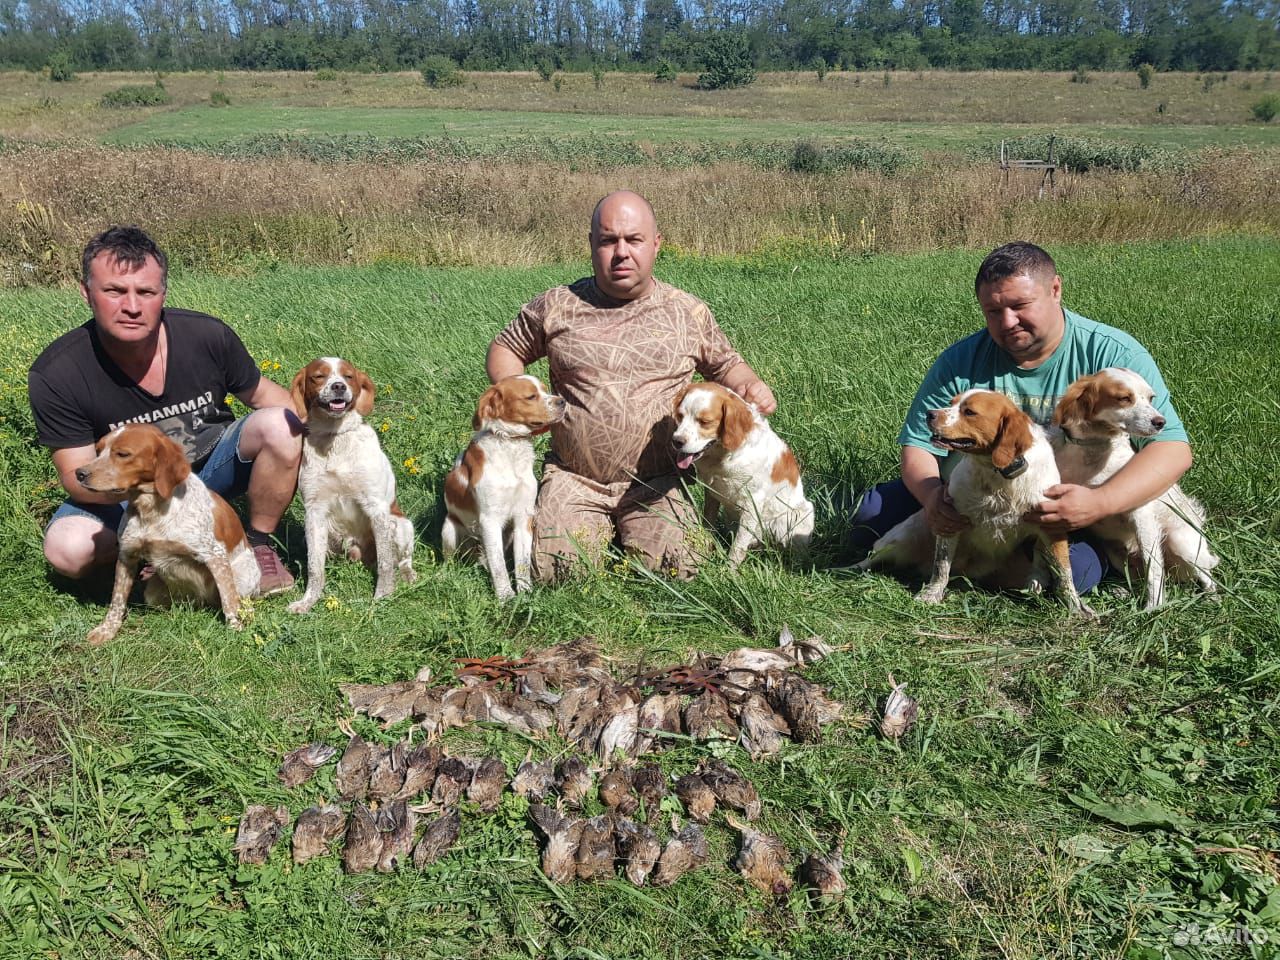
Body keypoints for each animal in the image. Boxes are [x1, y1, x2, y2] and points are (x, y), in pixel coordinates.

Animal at [74, 422, 259, 642]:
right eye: (98, 450)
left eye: (123, 454)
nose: (79, 473)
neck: (151, 508)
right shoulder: (127, 555)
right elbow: (117, 601)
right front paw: (107, 630)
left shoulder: (215, 556)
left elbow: (229, 602)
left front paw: (235, 631)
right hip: (154, 591)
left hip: (242, 577)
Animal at [290, 358, 414, 611]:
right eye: (318, 376)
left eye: (348, 376)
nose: (338, 386)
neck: (335, 438)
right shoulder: (314, 511)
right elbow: (314, 568)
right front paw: (308, 602)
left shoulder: (377, 508)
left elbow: (386, 564)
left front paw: (382, 597)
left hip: (400, 524)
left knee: (401, 560)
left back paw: (408, 575)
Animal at [445, 376, 565, 601]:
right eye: (531, 396)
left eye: (545, 390)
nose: (562, 401)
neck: (510, 446)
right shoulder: (489, 519)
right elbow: (499, 564)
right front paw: (506, 597)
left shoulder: (524, 515)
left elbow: (522, 562)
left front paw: (525, 593)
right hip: (448, 529)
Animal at [670, 378, 808, 568]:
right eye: (680, 416)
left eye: (704, 421)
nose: (676, 441)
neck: (723, 456)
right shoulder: (711, 491)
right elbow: (708, 521)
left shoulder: (752, 502)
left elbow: (738, 545)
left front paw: (729, 570)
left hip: (799, 515)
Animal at [1049, 368, 1218, 609]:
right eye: (1124, 398)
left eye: (1151, 398)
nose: (1161, 421)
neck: (1093, 450)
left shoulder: (1142, 514)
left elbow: (1153, 569)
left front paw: (1153, 607)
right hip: (1116, 553)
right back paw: (1122, 592)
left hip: (1181, 543)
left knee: (1206, 573)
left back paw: (1213, 597)